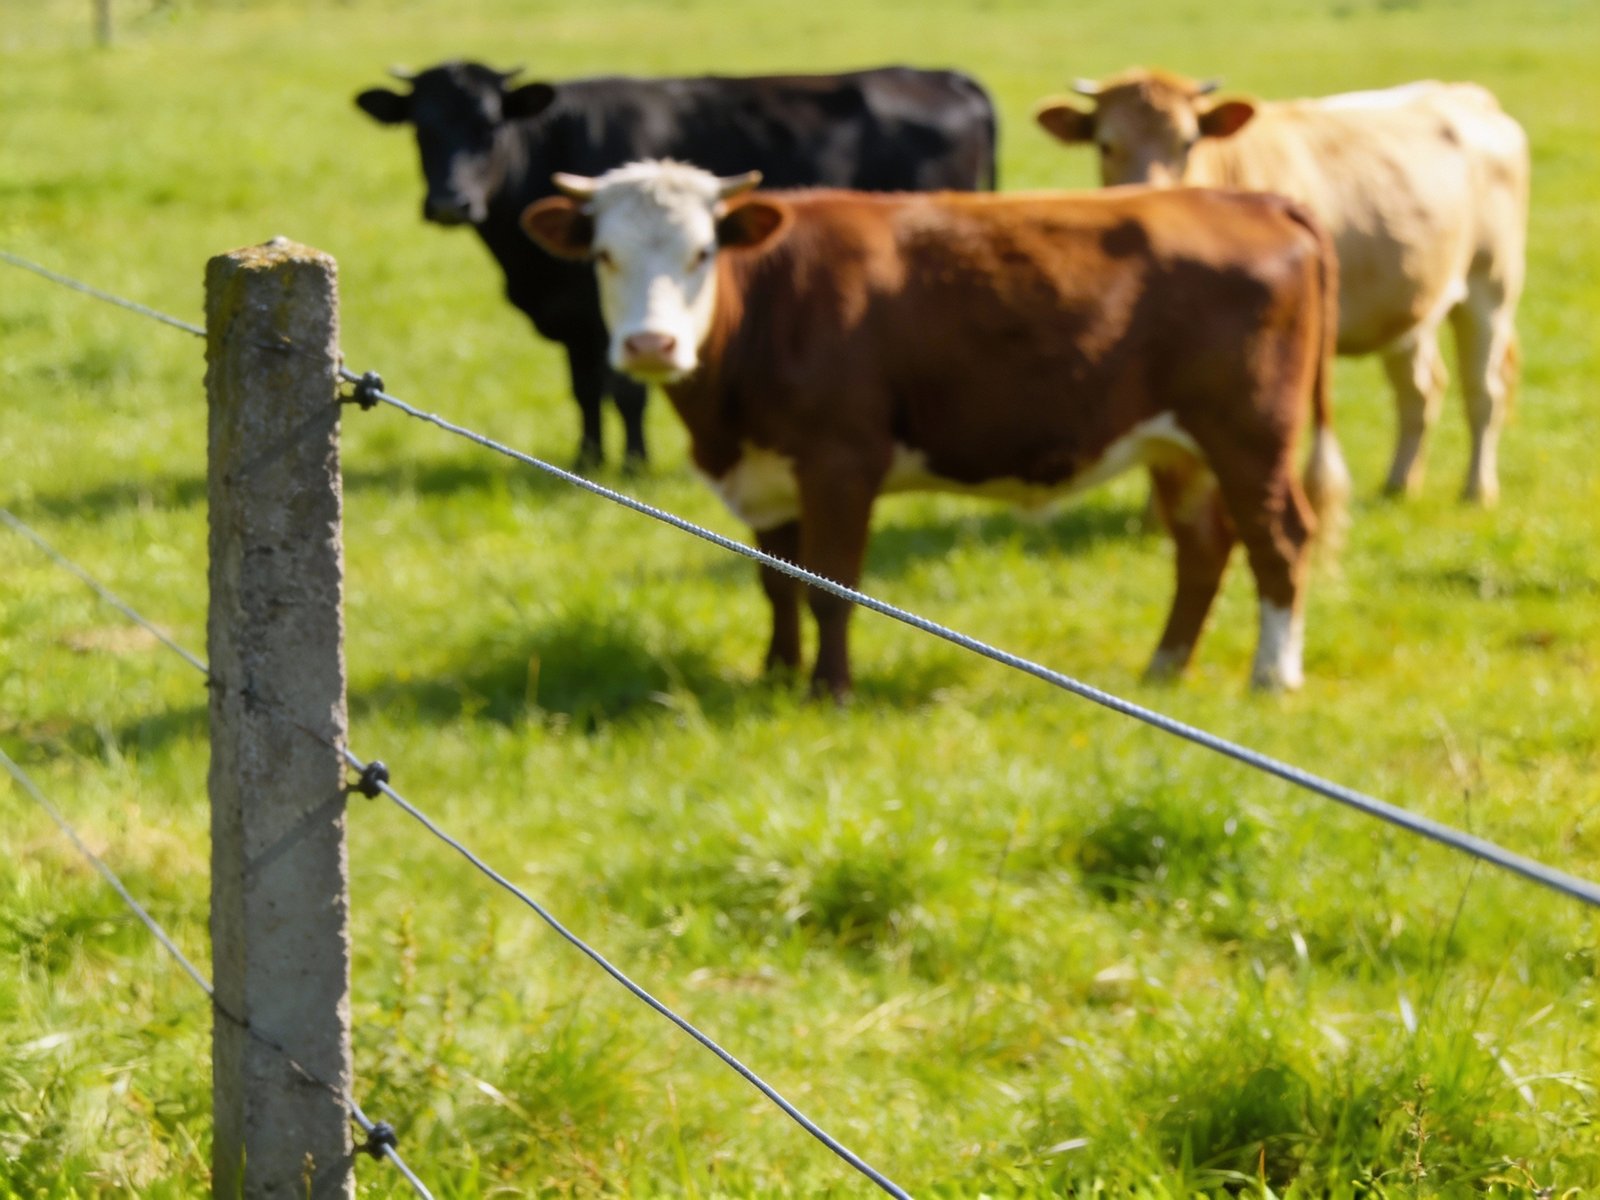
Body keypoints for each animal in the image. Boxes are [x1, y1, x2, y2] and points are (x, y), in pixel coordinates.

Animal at [355, 61, 998, 469]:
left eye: (490, 126)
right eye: (420, 127)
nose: (450, 202)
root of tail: (944, 76)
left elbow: (625, 392)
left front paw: (634, 464)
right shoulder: (577, 319)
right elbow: (584, 391)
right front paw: (588, 459)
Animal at [521, 160, 1351, 697]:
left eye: (702, 252)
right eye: (605, 255)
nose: (650, 345)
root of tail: (1255, 201)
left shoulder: (840, 463)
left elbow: (830, 584)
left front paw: (829, 689)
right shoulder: (769, 474)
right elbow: (776, 581)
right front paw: (776, 673)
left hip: (1249, 434)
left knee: (1281, 539)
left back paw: (1273, 675)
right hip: (1177, 447)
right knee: (1204, 548)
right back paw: (1166, 666)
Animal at [1035, 69, 1529, 504]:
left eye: (1188, 142)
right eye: (1105, 144)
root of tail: (1464, 94)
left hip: (1490, 289)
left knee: (1483, 392)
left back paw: (1477, 490)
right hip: (1410, 304)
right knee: (1420, 390)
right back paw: (1399, 484)